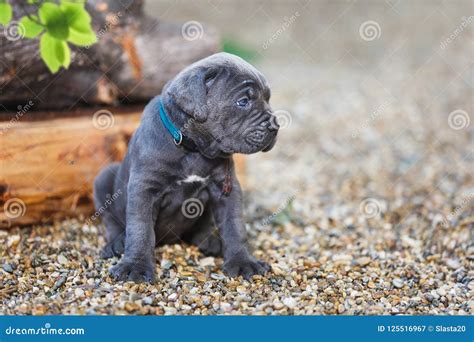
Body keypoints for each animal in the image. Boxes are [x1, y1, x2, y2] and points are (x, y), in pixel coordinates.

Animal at [93, 52, 278, 282]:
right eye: (243, 102)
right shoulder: (144, 187)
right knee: (110, 219)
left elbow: (235, 226)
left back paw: (210, 242)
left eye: (268, 98)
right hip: (103, 177)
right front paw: (135, 266)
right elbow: (140, 230)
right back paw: (116, 243)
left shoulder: (227, 188)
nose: (276, 125)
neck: (193, 148)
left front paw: (243, 262)